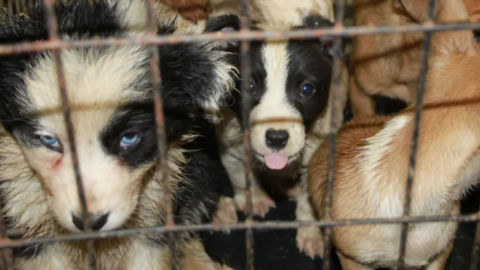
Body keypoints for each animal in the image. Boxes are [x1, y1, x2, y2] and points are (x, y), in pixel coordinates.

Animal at [203, 13, 348, 258]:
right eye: (249, 86)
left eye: (307, 89)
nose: (277, 138)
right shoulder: (230, 148)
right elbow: (241, 176)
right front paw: (254, 198)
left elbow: (307, 202)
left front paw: (310, 233)